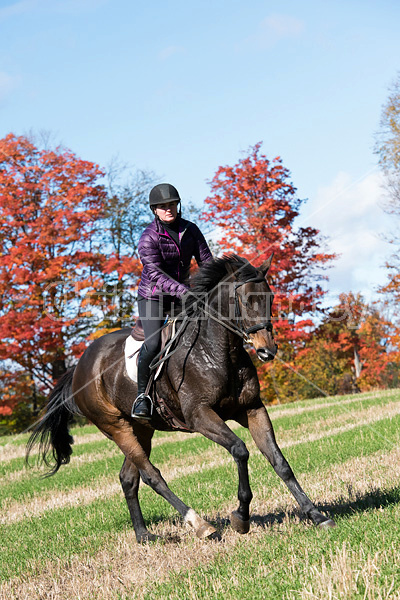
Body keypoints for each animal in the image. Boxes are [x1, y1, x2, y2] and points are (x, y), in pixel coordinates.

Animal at [26, 254, 336, 544]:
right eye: (247, 300)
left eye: (270, 297)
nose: (267, 350)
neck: (218, 350)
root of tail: (79, 367)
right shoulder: (200, 415)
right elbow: (240, 450)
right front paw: (241, 517)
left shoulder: (252, 409)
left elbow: (279, 461)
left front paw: (316, 515)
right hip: (116, 427)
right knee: (151, 475)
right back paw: (200, 524)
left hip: (141, 429)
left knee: (129, 478)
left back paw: (144, 536)